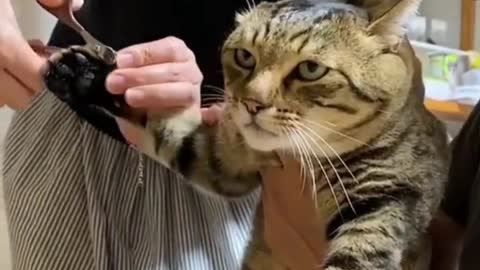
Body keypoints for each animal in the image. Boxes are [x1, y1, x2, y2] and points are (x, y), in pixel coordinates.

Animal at [42, 0, 450, 270]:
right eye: (244, 57)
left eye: (311, 69)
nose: (253, 103)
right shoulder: (223, 161)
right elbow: (162, 123)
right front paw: (86, 75)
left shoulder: (389, 198)